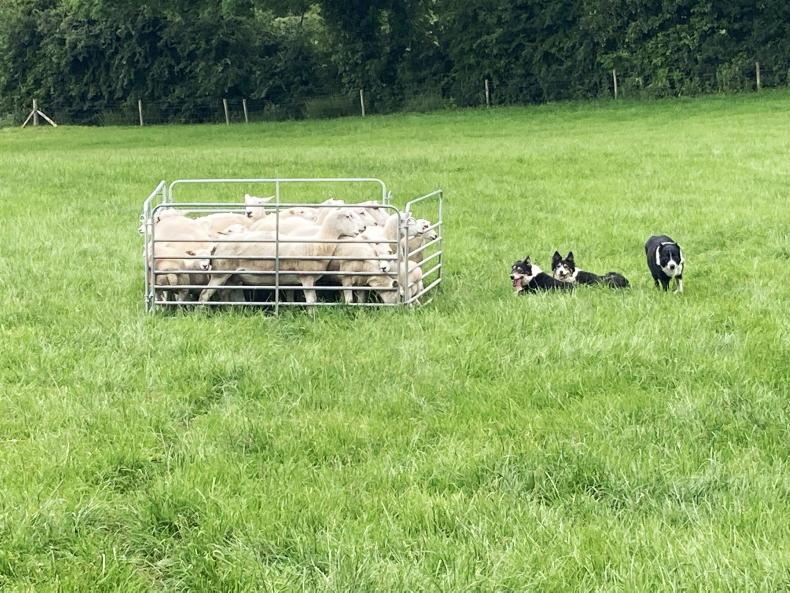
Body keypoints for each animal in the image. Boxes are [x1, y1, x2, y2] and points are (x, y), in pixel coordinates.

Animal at [199, 208, 366, 305]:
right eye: (348, 216)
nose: (363, 228)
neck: (316, 244)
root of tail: (217, 245)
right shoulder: (306, 277)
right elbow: (312, 301)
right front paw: (312, 318)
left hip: (234, 277)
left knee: (232, 296)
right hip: (220, 273)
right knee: (204, 294)